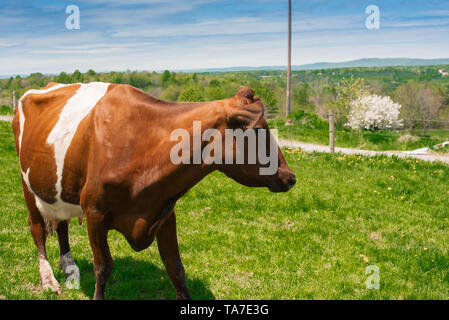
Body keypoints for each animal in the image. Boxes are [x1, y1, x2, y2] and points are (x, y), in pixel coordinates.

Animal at [11, 81, 294, 298]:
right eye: (258, 131)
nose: (290, 177)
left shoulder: (164, 212)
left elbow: (176, 269)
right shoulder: (94, 212)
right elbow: (102, 268)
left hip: (59, 191)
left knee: (61, 225)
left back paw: (68, 268)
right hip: (28, 185)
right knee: (37, 228)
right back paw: (48, 279)